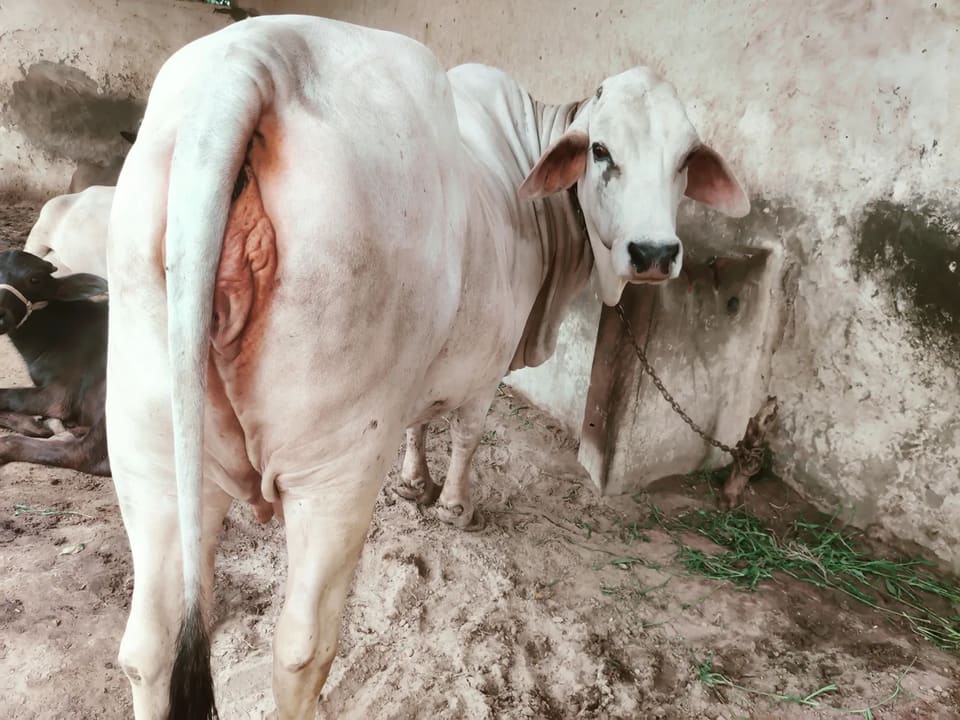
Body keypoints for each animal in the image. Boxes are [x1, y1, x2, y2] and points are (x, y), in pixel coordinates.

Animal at [106, 15, 749, 720]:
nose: (655, 252)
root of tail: (254, 60)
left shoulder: (423, 372)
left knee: (149, 646)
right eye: (601, 150)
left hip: (151, 453)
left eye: (686, 159)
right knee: (302, 647)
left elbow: (421, 423)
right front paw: (455, 507)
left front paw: (416, 484)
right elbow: (467, 433)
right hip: (335, 467)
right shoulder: (487, 363)